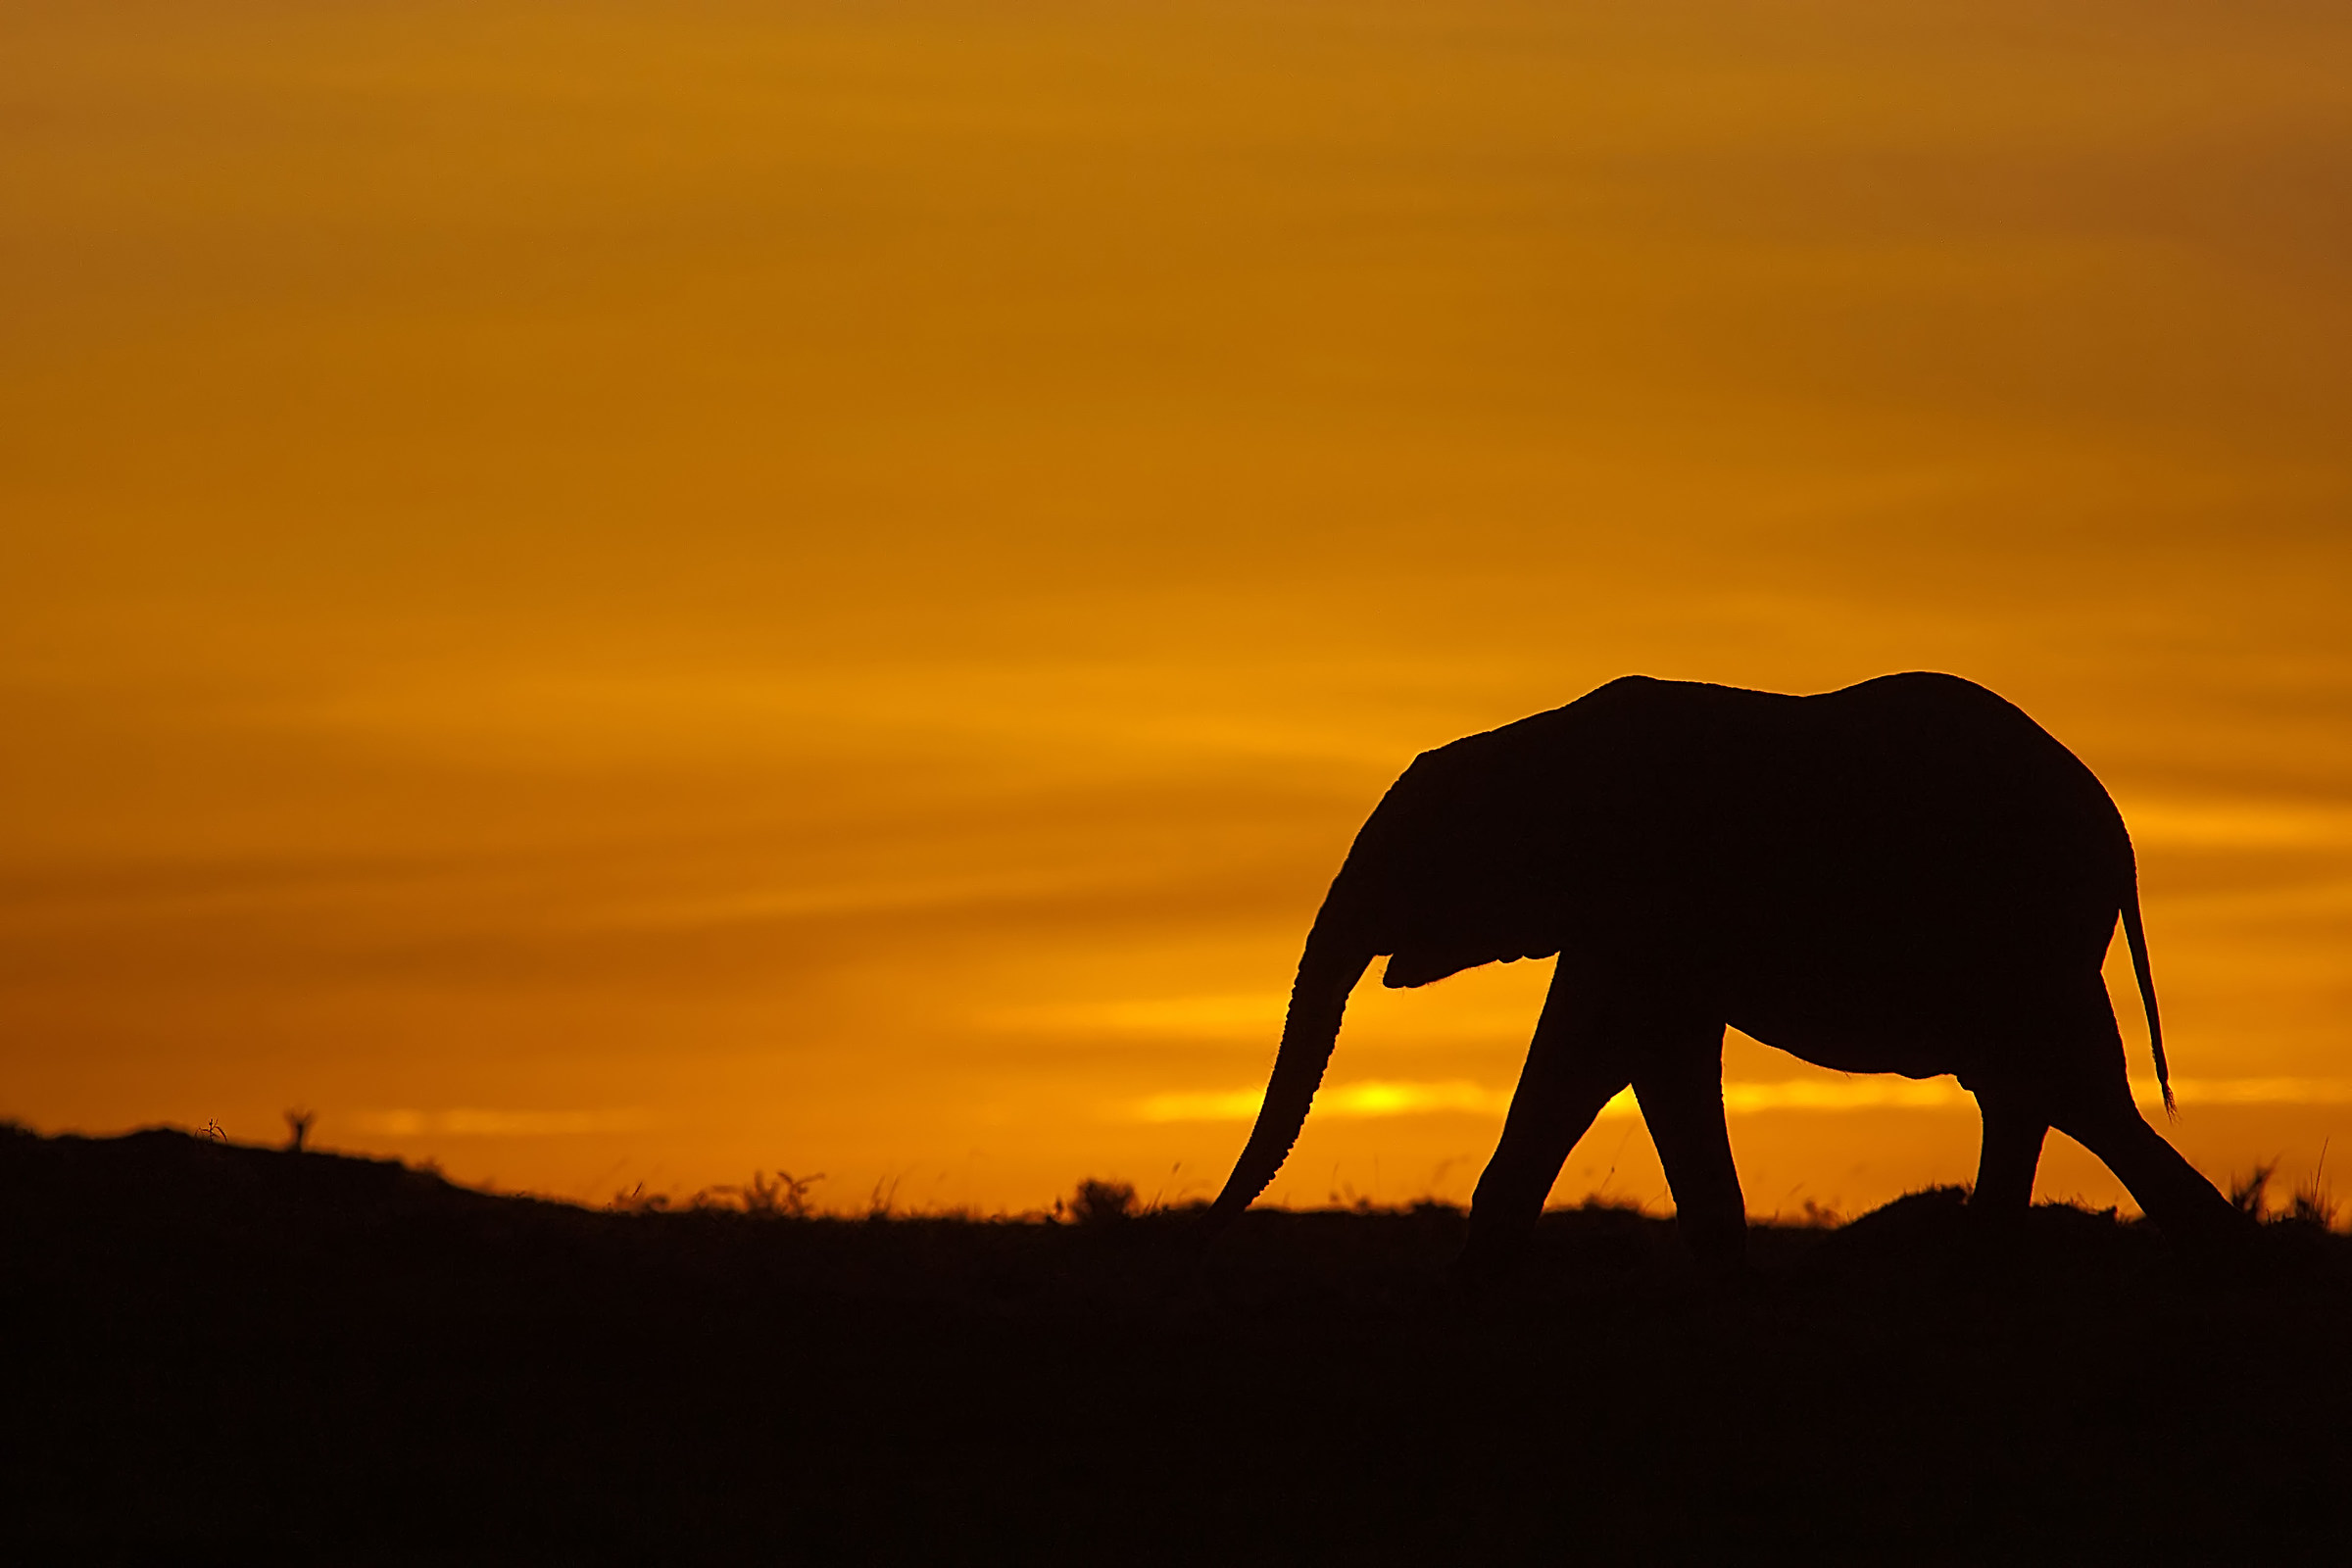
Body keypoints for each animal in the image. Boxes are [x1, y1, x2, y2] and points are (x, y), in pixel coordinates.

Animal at [1205, 672, 2248, 1273]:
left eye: (1407, 861)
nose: (1211, 1229)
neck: (1532, 741)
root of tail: (2119, 835)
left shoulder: (1650, 899)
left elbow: (1615, 1056)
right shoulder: (1626, 924)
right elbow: (1621, 1061)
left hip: (2026, 934)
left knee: (2066, 1088)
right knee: (2040, 1091)